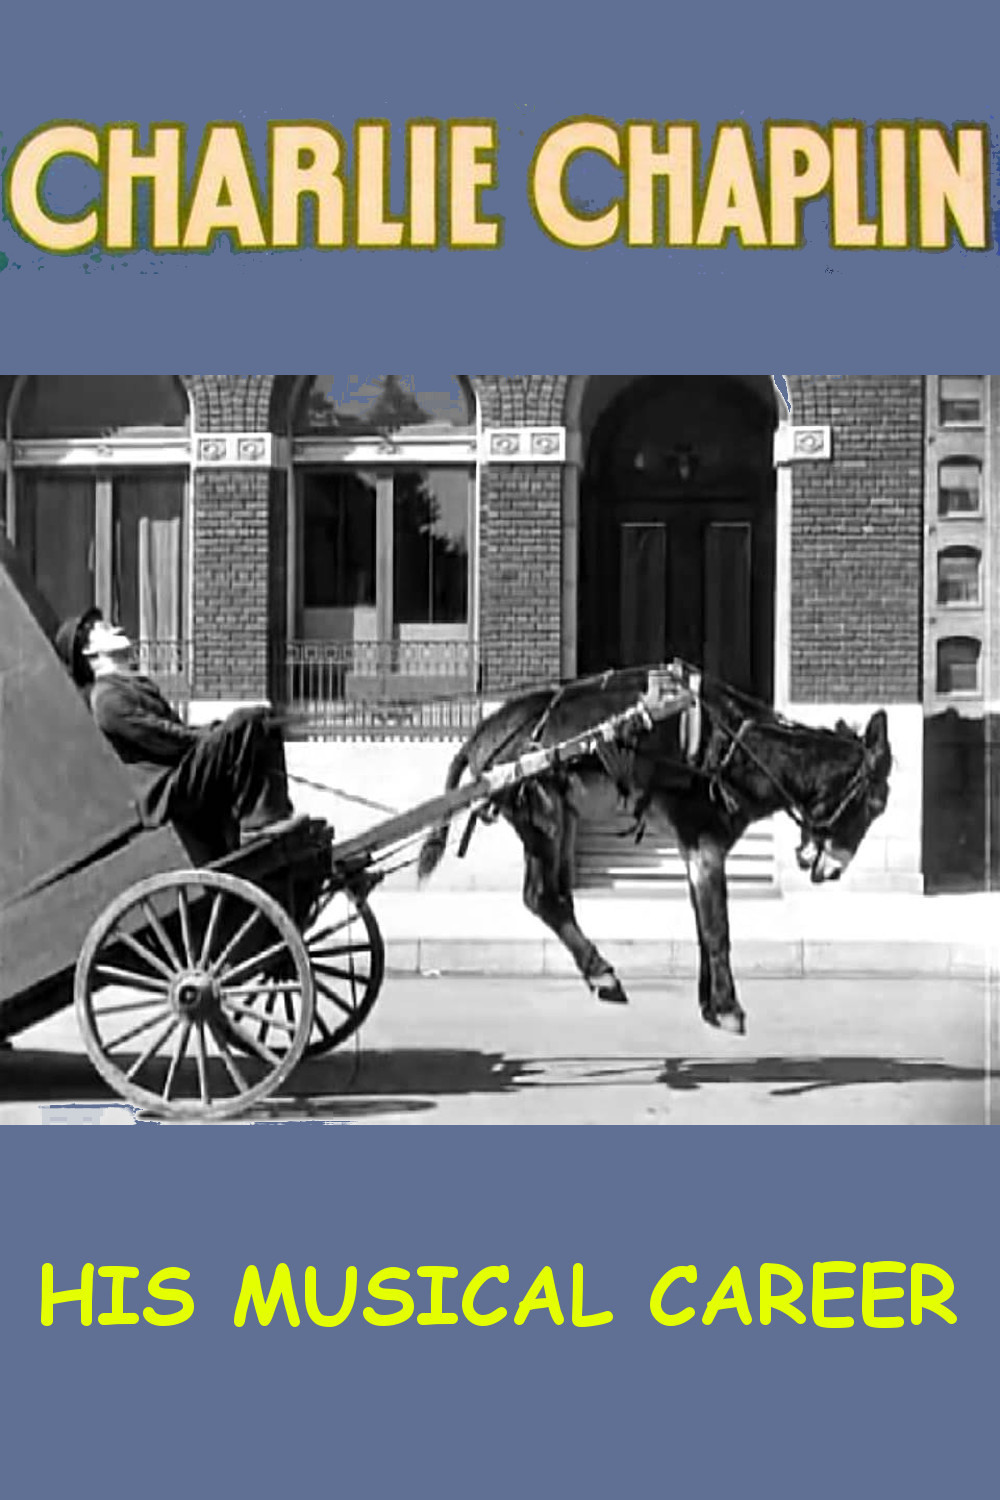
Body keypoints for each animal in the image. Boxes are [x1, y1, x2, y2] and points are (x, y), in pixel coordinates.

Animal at [417, 664, 892, 1035]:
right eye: (876, 805)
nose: (831, 869)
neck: (738, 750)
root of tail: (483, 733)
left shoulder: (692, 848)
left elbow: (702, 925)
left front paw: (708, 1005)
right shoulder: (705, 841)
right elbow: (717, 928)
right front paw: (728, 1009)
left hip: (558, 821)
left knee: (554, 898)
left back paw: (598, 972)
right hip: (543, 818)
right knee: (543, 898)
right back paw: (603, 975)